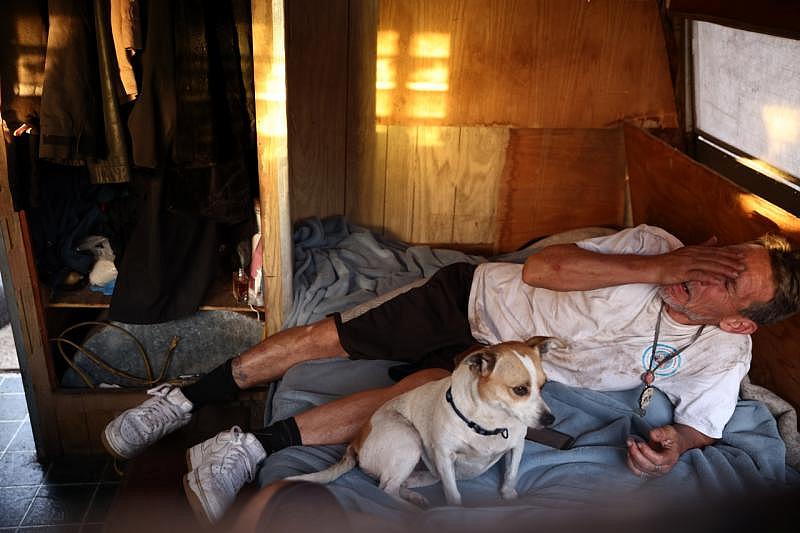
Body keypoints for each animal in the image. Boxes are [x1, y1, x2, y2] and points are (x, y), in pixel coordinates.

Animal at [288, 334, 556, 504]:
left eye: (544, 385)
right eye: (520, 390)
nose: (550, 420)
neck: (489, 423)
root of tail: (356, 441)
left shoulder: (516, 447)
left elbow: (511, 476)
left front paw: (509, 497)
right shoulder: (445, 458)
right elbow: (454, 495)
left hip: (423, 470)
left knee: (397, 485)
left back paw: (415, 498)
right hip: (409, 441)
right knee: (386, 489)